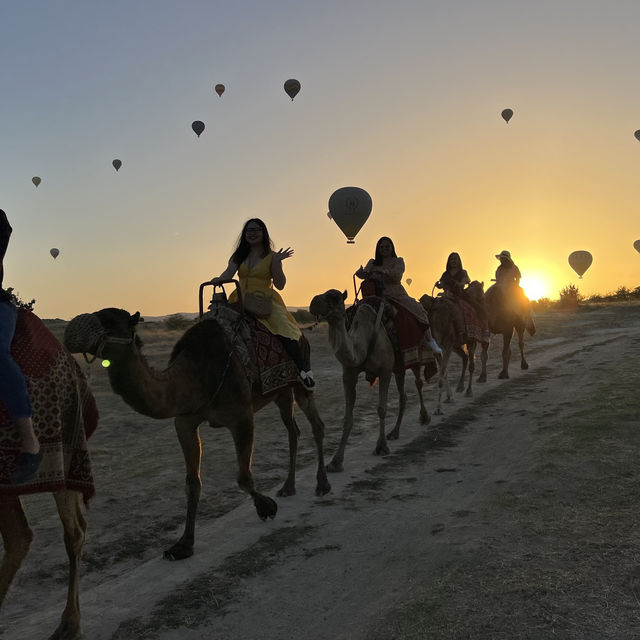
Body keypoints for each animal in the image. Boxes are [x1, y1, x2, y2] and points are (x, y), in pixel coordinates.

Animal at [64, 308, 330, 564]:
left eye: (109, 320)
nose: (72, 330)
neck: (195, 375)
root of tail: (301, 333)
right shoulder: (184, 422)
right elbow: (192, 483)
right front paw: (182, 545)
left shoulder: (241, 416)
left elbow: (244, 478)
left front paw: (266, 507)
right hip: (280, 393)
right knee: (293, 430)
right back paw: (288, 487)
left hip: (299, 382)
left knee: (316, 424)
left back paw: (322, 484)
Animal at [308, 288, 430, 472]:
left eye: (335, 297)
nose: (313, 302)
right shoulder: (349, 373)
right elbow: (347, 417)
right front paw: (336, 461)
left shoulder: (385, 371)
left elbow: (381, 409)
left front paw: (381, 447)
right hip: (399, 367)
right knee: (403, 395)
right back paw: (394, 432)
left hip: (413, 357)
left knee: (418, 382)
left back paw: (424, 417)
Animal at [420, 282, 490, 416]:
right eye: (482, 295)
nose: (484, 308)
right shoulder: (440, 348)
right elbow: (444, 372)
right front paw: (447, 399)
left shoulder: (452, 344)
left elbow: (444, 372)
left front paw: (439, 408)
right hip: (455, 345)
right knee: (465, 357)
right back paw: (460, 387)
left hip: (458, 343)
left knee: (469, 359)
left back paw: (466, 389)